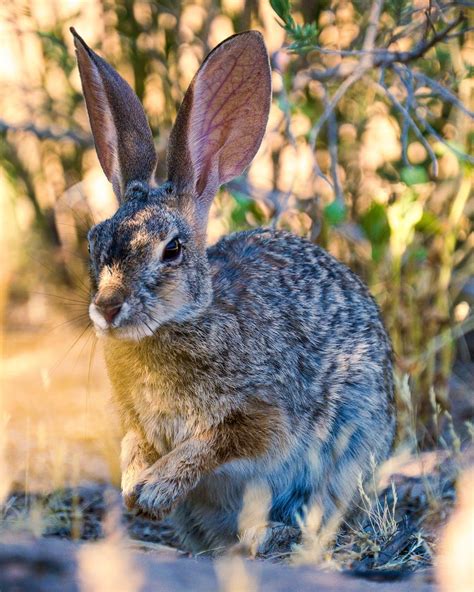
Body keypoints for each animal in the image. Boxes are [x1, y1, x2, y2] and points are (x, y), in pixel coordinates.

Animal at [71, 27, 396, 556]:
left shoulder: (264, 414)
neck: (185, 320)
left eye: (173, 249)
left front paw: (155, 488)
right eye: (94, 241)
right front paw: (134, 488)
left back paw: (271, 535)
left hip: (349, 443)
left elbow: (216, 443)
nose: (107, 308)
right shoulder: (134, 421)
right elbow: (133, 444)